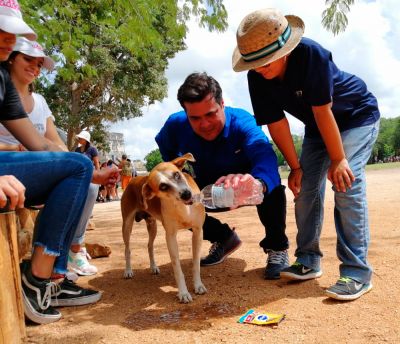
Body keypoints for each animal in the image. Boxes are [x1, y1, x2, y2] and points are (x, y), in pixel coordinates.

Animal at [120, 152, 208, 302]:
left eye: (177, 174)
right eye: (163, 187)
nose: (187, 194)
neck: (182, 208)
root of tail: (133, 179)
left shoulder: (198, 231)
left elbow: (196, 264)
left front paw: (198, 285)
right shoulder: (170, 236)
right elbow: (177, 268)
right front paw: (183, 293)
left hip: (152, 225)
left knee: (149, 246)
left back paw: (154, 267)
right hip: (127, 224)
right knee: (127, 249)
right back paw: (128, 271)